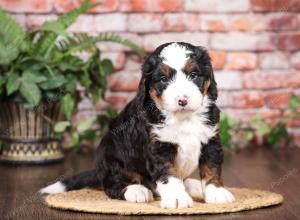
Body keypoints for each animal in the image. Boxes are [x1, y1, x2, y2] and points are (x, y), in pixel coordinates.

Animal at [39, 42, 236, 208]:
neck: (183, 117)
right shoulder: (158, 147)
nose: (182, 100)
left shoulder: (211, 139)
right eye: (163, 79)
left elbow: (211, 168)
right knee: (113, 185)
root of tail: (99, 171)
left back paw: (192, 186)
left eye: (193, 75)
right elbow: (168, 174)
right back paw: (137, 190)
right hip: (111, 156)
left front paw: (217, 192)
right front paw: (176, 198)